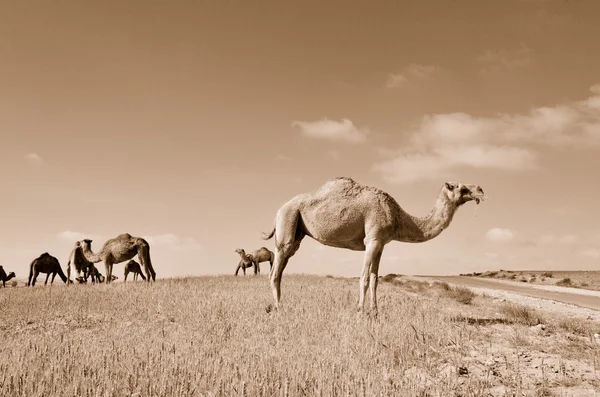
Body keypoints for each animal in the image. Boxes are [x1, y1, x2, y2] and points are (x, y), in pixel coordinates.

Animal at [262, 176, 488, 316]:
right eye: (461, 188)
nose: (481, 189)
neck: (397, 216)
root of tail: (278, 210)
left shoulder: (381, 243)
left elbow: (374, 279)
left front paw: (375, 312)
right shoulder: (372, 239)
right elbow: (363, 278)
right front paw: (360, 311)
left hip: (297, 233)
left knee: (280, 268)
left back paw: (273, 305)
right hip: (288, 220)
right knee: (275, 270)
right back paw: (279, 308)